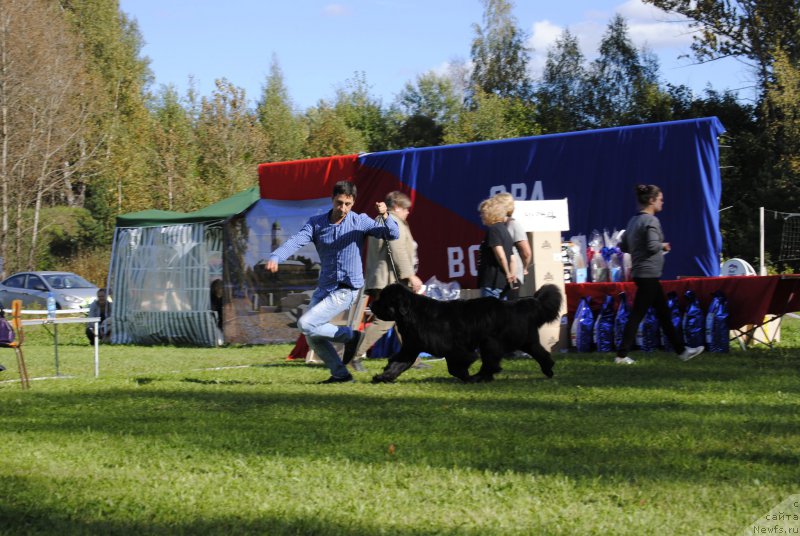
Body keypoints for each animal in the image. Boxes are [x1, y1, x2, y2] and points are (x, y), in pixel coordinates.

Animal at [370, 282, 564, 384]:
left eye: (383, 299)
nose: (371, 305)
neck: (411, 314)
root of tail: (515, 304)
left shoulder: (455, 349)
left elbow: (456, 366)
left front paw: (466, 376)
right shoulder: (410, 348)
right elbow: (397, 364)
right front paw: (383, 376)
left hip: (490, 341)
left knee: (491, 362)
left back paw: (480, 377)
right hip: (525, 341)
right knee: (541, 353)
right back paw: (548, 370)